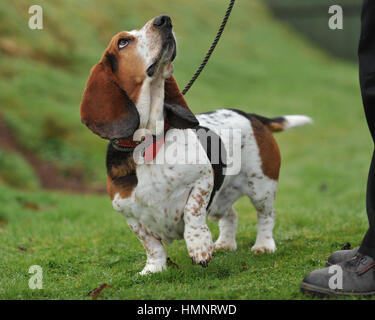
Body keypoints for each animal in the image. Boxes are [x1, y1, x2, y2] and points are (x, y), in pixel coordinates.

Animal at [81, 15, 312, 276]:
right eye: (123, 42)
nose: (164, 20)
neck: (149, 139)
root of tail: (252, 116)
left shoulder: (202, 179)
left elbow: (193, 211)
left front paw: (199, 246)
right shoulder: (128, 213)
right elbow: (151, 245)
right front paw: (153, 269)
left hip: (262, 186)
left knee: (266, 216)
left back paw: (263, 245)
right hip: (221, 200)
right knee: (231, 215)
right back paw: (225, 243)